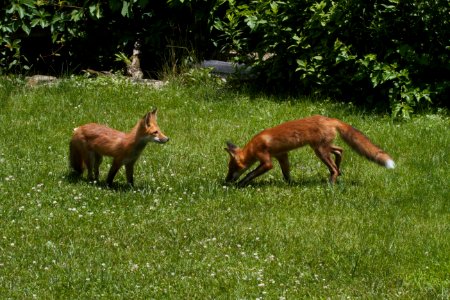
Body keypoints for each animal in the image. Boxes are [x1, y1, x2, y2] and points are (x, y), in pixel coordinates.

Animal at [224, 114, 394, 185]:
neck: (254, 146)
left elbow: (251, 173)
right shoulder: (282, 155)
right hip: (322, 147)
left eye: (231, 169)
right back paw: (339, 172)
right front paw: (290, 185)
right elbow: (286, 173)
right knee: (339, 151)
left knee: (333, 166)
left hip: (320, 150)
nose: (226, 181)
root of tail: (329, 119)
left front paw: (241, 183)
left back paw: (331, 184)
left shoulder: (266, 161)